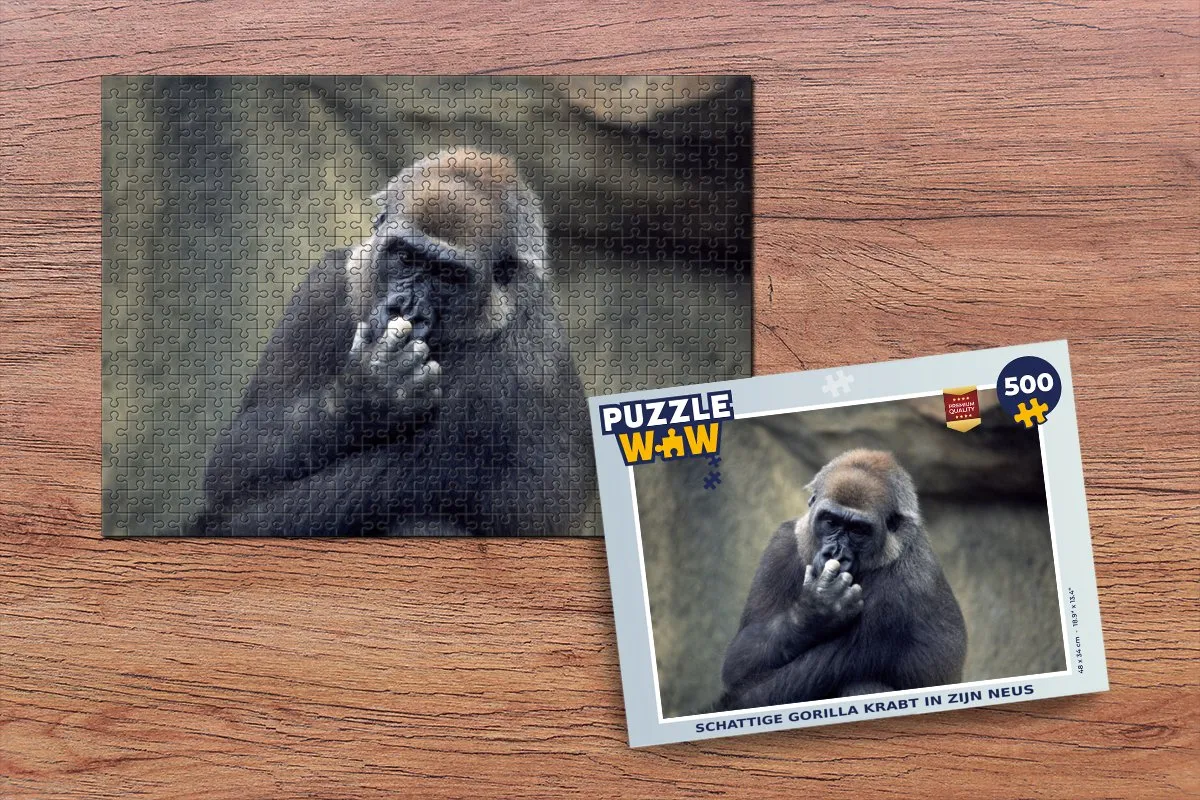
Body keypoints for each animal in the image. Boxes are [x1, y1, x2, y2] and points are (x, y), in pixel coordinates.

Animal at [191, 148, 596, 536]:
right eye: (404, 257)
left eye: (449, 276)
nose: (406, 309)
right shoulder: (326, 282)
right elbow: (236, 453)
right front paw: (366, 397)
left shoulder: (512, 370)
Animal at [715, 449, 966, 710]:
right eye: (830, 521)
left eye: (858, 530)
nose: (835, 554)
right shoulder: (782, 544)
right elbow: (740, 657)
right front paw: (816, 611)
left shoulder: (898, 591)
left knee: (861, 685)